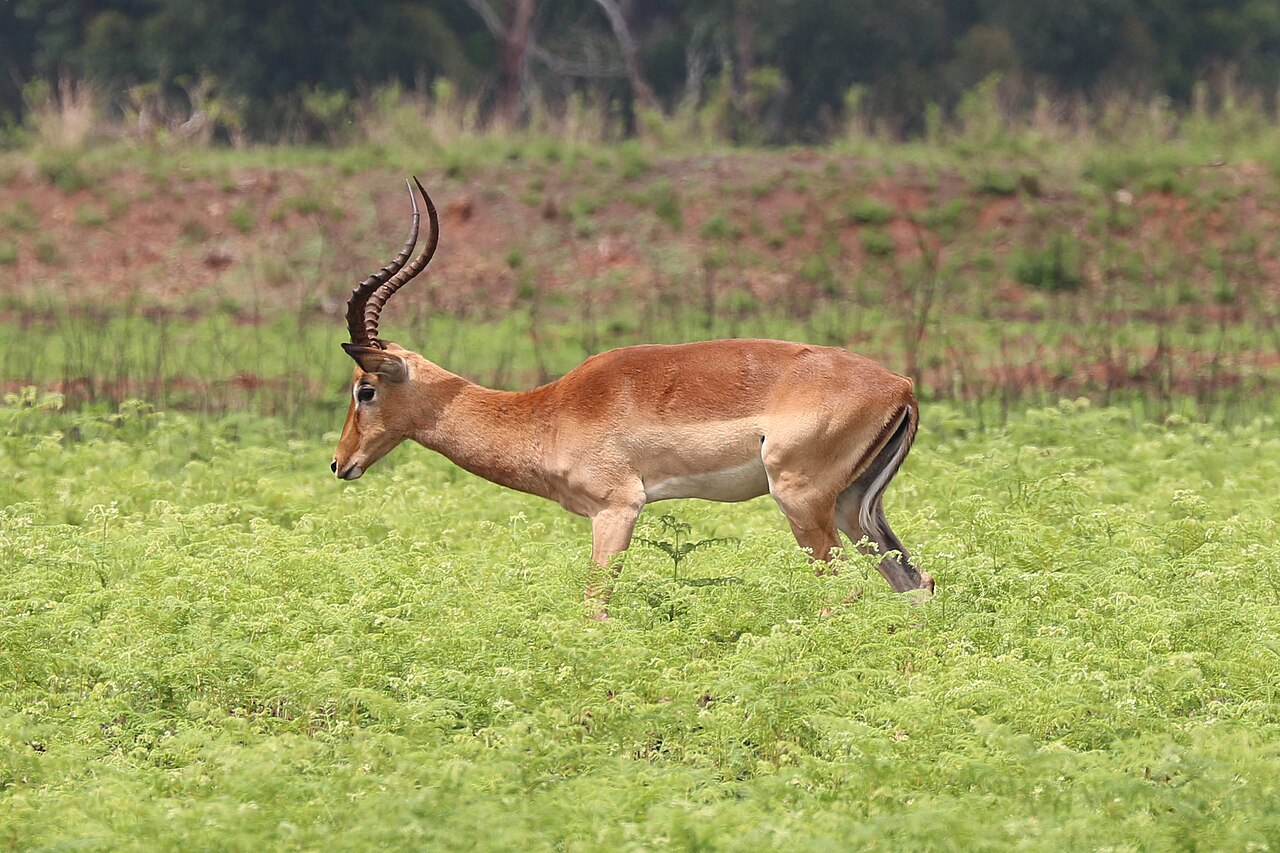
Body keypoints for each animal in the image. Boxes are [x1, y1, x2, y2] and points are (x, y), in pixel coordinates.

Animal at [332, 179, 934, 616]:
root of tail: (900, 386)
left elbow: (594, 605)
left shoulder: (617, 508)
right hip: (855, 506)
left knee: (846, 590)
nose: (340, 463)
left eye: (365, 388)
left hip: (802, 501)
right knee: (914, 582)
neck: (546, 412)